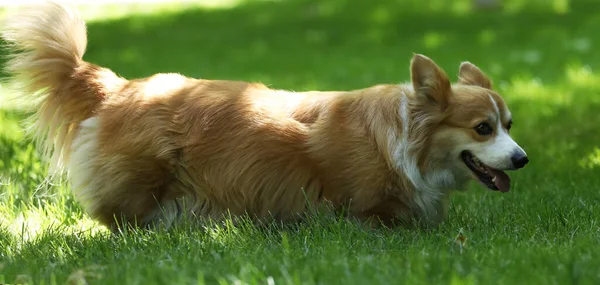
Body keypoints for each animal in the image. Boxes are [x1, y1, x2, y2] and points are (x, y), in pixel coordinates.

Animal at [3, 1, 528, 229]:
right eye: (483, 129)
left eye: (509, 125)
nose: (523, 159)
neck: (403, 138)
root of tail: (116, 86)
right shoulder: (369, 207)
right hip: (144, 174)